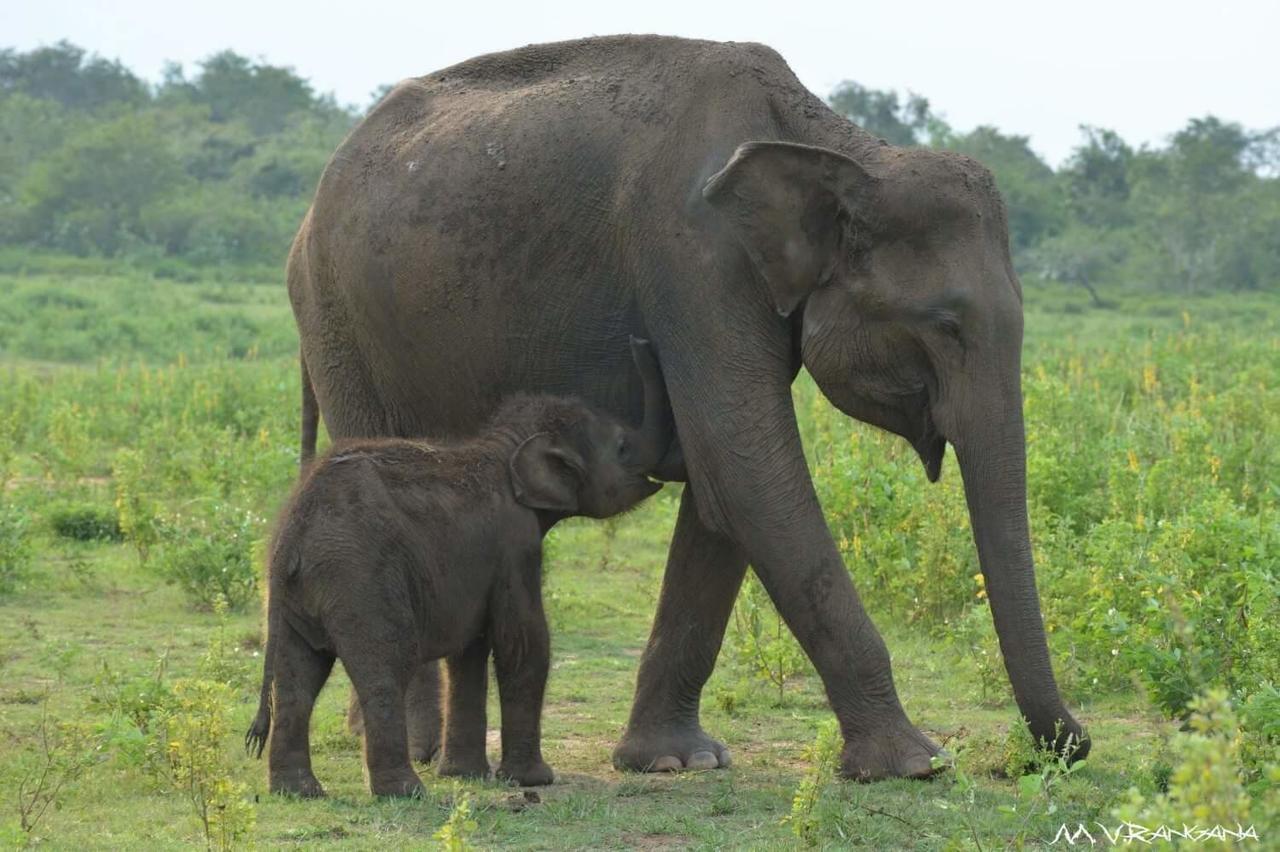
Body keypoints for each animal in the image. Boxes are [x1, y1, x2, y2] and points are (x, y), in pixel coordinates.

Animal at [241, 337, 670, 798]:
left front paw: (464, 775)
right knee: (385, 669)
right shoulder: (515, 545)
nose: (641, 341)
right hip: (359, 582)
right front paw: (533, 779)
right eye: (622, 446)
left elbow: (469, 651)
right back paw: (406, 792)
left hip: (295, 598)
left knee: (296, 680)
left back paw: (298, 791)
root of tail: (293, 534)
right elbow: (523, 642)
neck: (506, 446)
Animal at [293, 34, 1090, 777]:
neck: (835, 142)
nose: (1067, 746)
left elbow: (724, 487)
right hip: (339, 319)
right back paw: (416, 751)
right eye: (948, 326)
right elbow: (746, 469)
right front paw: (914, 764)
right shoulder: (693, 257)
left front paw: (676, 761)